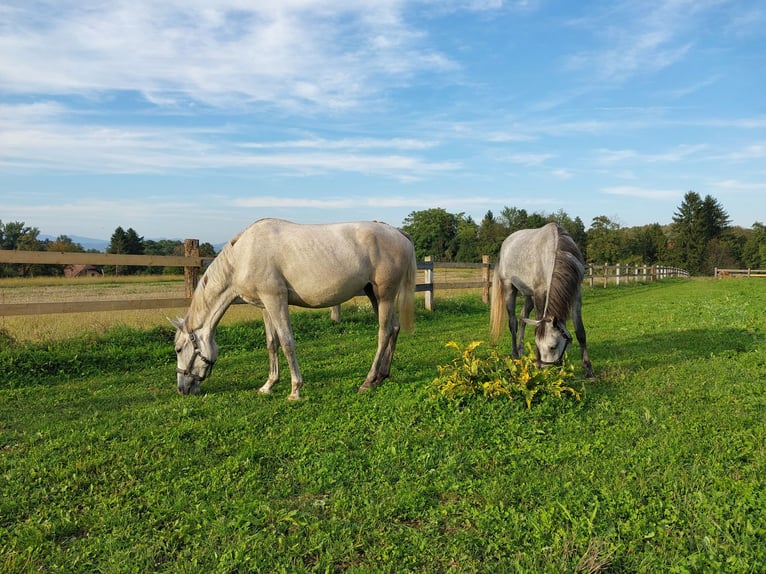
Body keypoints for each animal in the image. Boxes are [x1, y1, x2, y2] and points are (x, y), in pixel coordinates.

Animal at [173, 218, 416, 402]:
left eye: (178, 349)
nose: (182, 389)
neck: (242, 256)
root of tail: (399, 233)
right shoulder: (265, 306)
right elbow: (272, 343)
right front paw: (268, 385)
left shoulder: (276, 300)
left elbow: (287, 343)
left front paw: (295, 390)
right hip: (373, 294)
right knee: (394, 328)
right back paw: (381, 377)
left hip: (384, 294)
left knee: (384, 332)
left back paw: (368, 381)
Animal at [488, 223, 596, 380]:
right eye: (538, 345)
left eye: (552, 346)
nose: (546, 371)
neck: (555, 253)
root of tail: (505, 244)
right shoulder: (539, 294)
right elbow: (537, 328)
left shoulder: (575, 294)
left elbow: (580, 332)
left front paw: (588, 370)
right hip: (509, 288)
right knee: (513, 322)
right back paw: (515, 355)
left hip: (529, 295)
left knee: (523, 317)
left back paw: (521, 351)